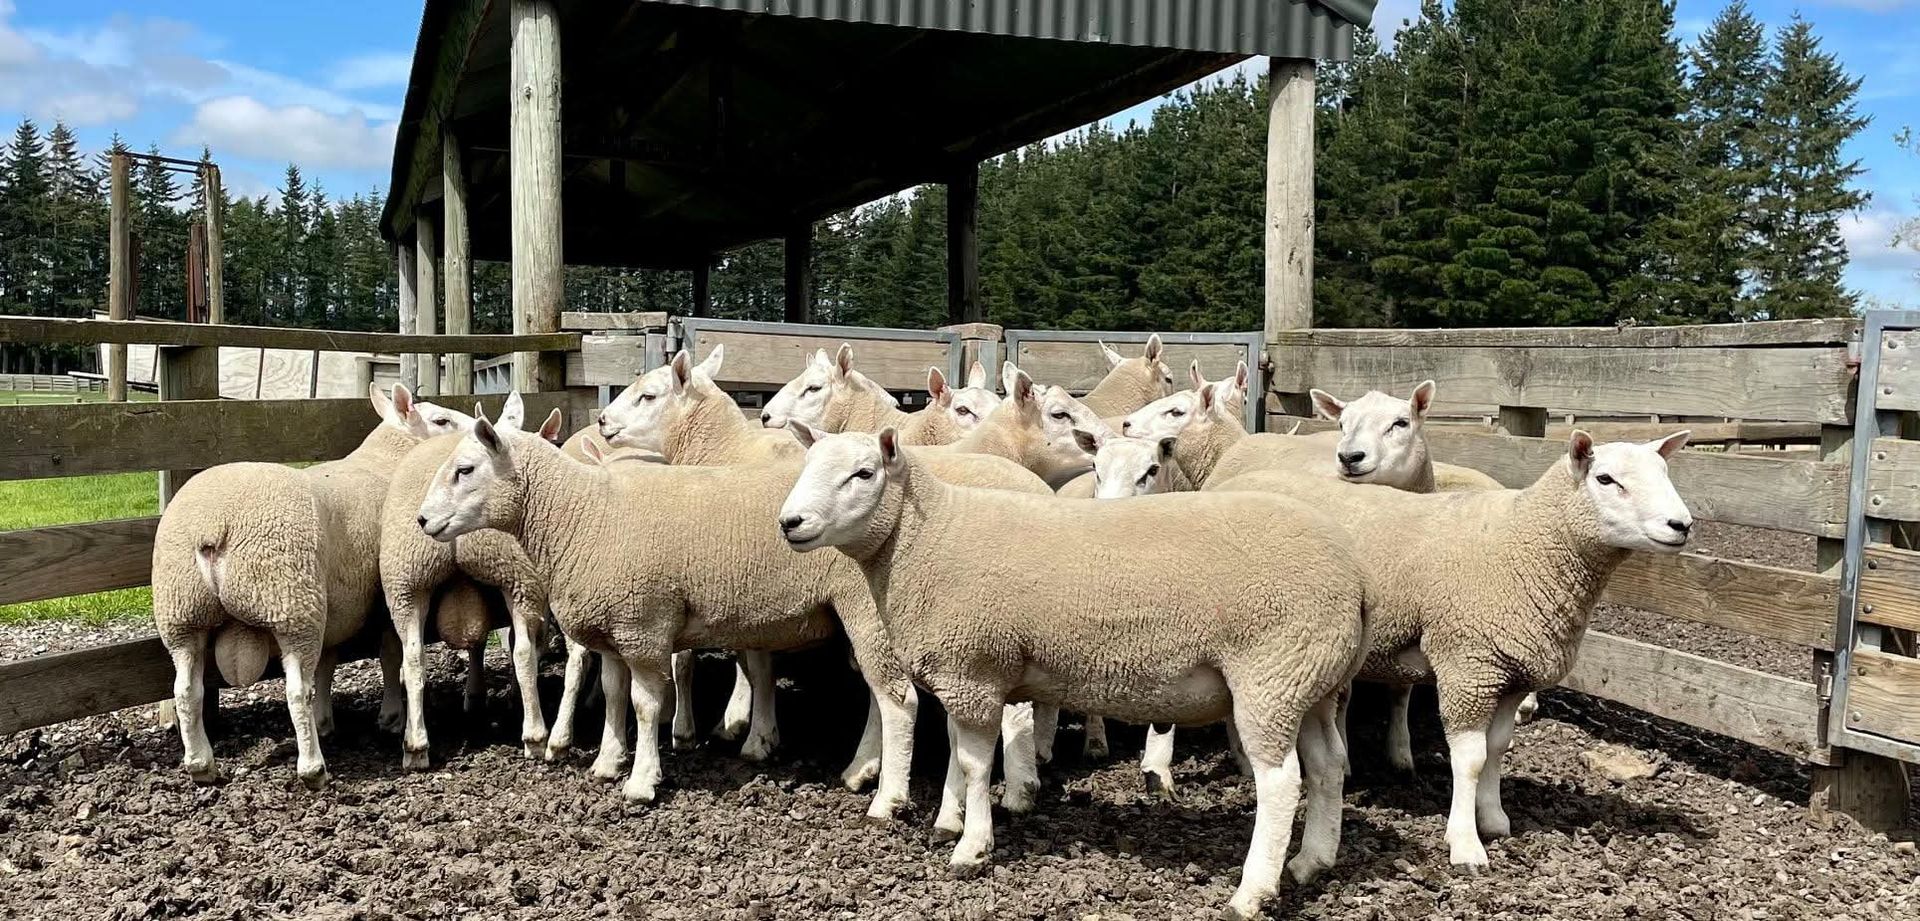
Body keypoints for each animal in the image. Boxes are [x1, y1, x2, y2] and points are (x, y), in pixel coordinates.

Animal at [152, 383, 472, 788]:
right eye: (441, 421)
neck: (385, 460)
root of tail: (213, 525)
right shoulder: (380, 595)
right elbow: (389, 654)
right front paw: (389, 717)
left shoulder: (334, 605)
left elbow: (327, 663)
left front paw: (325, 719)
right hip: (290, 603)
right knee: (293, 691)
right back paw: (313, 767)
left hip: (182, 611)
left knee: (186, 690)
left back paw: (200, 765)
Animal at [415, 422, 927, 823]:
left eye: (465, 470)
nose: (422, 519)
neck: (580, 515)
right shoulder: (614, 630)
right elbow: (614, 695)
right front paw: (607, 762)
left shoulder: (643, 625)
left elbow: (644, 706)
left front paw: (641, 780)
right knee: (878, 693)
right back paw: (864, 768)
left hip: (866, 610)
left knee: (897, 699)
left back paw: (883, 795)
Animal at [775, 427, 1367, 918]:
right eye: (807, 465)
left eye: (864, 473)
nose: (789, 523)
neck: (926, 538)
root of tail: (1354, 577)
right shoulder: (963, 672)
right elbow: (957, 749)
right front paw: (950, 821)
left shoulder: (974, 667)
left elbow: (973, 763)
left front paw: (971, 848)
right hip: (1311, 680)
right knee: (1328, 767)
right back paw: (1312, 862)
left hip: (1270, 675)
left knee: (1281, 783)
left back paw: (1252, 893)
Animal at [1209, 429, 1693, 868]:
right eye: (1606, 479)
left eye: (1665, 473)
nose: (1682, 525)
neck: (1524, 544)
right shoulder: (1468, 666)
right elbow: (1472, 759)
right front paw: (1464, 843)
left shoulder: (1511, 673)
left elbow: (1498, 747)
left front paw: (1493, 818)